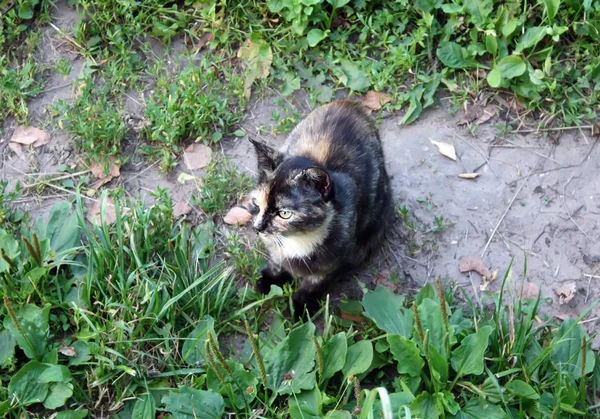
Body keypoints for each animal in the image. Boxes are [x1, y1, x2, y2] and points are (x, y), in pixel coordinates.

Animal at [245, 100, 394, 316]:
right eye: (257, 204)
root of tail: (352, 103)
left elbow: (316, 281)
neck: (297, 241)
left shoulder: (336, 258)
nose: (258, 228)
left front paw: (301, 306)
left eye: (284, 214)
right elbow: (276, 260)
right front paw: (271, 279)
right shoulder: (273, 247)